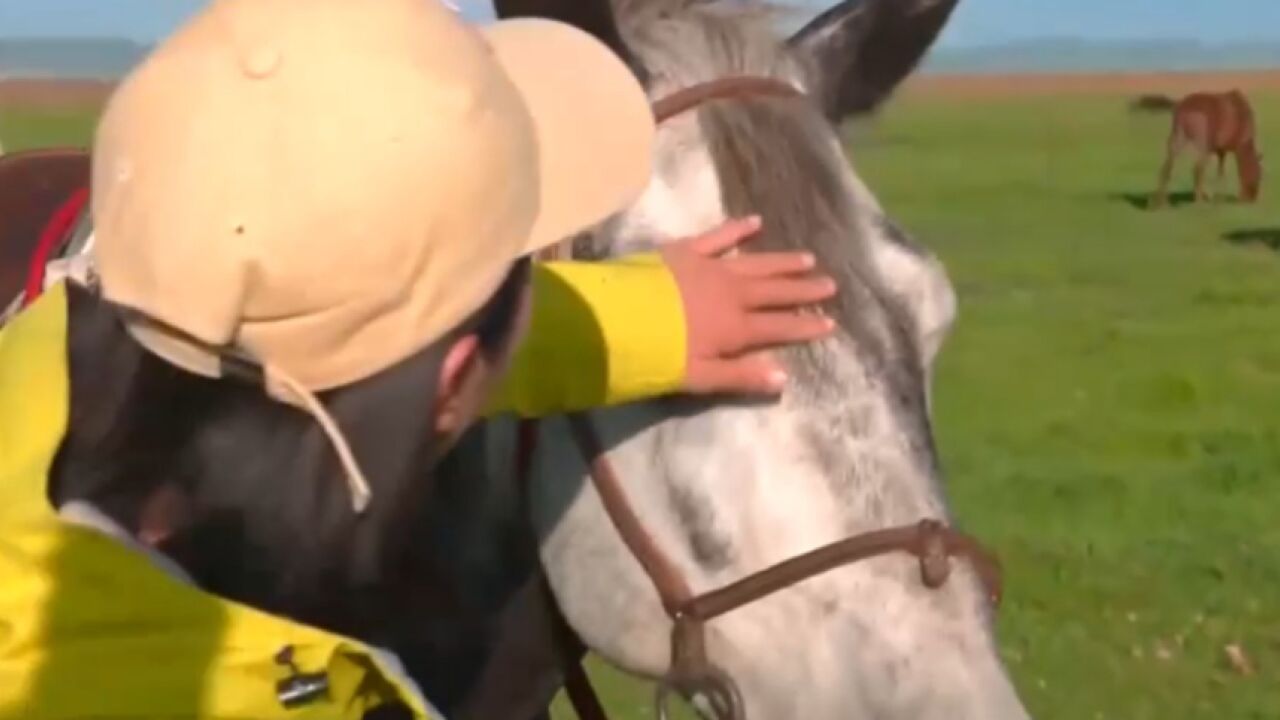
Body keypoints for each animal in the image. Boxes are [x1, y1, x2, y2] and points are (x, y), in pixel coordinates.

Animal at [1136, 90, 1264, 204]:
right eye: (1259, 174)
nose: (1250, 199)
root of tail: (1183, 108)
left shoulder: (1220, 150)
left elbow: (1220, 172)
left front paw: (1217, 198)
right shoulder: (1223, 149)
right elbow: (1220, 173)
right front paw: (1218, 199)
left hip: (1177, 138)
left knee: (1167, 167)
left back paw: (1161, 203)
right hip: (1203, 145)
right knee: (1197, 169)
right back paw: (1199, 201)